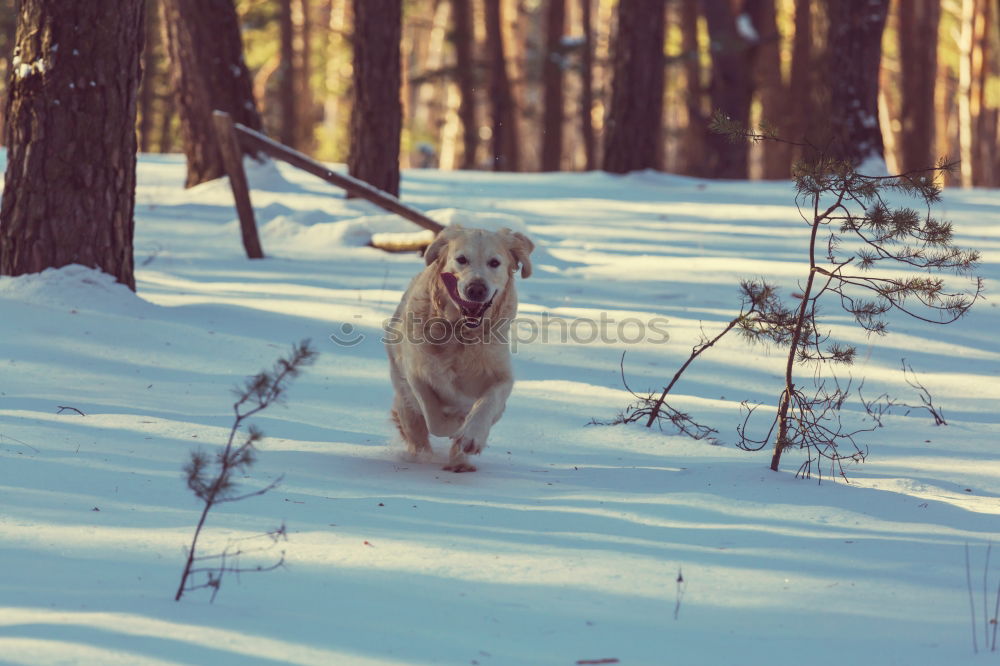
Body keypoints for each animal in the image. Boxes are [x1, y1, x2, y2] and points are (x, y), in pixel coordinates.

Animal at [386, 224, 536, 472]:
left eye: (494, 262)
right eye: (461, 259)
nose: (476, 289)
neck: (461, 334)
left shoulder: (502, 376)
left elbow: (488, 403)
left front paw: (471, 436)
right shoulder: (416, 374)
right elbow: (433, 416)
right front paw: (453, 426)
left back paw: (460, 462)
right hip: (403, 398)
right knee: (417, 433)